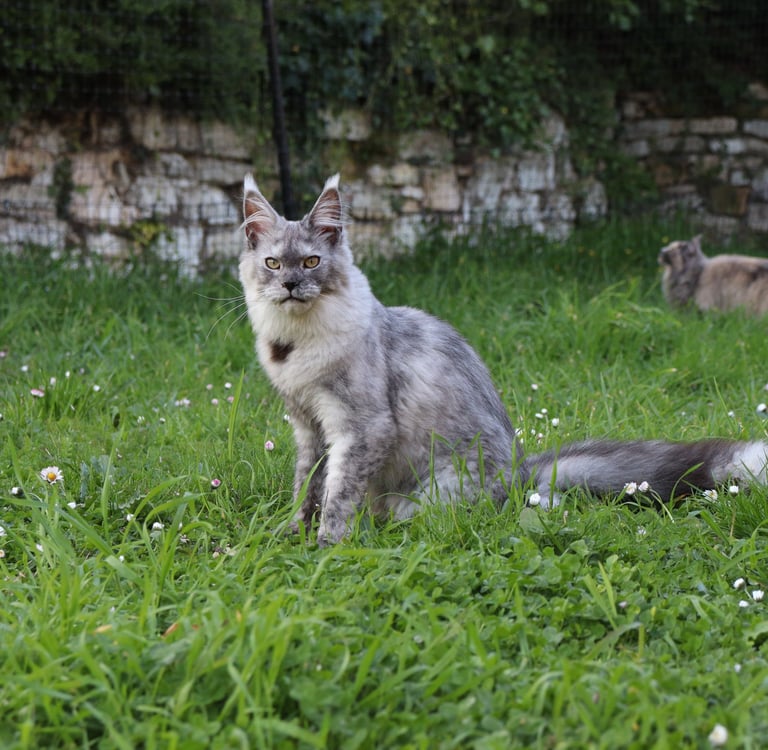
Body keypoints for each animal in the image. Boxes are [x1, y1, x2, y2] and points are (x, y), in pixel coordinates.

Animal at [239, 174, 768, 545]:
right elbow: (307, 487)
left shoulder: (360, 427)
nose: (291, 285)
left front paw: (327, 544)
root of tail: (520, 473)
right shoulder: (309, 426)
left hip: (434, 493)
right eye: (272, 263)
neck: (295, 345)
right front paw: (292, 533)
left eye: (312, 262)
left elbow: (338, 494)